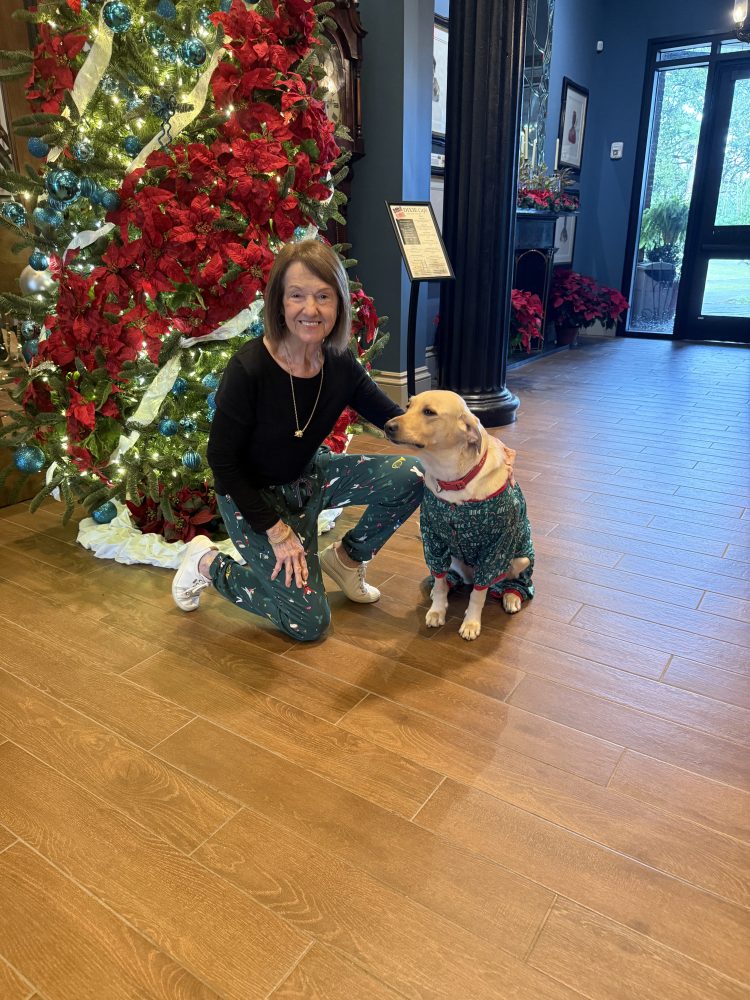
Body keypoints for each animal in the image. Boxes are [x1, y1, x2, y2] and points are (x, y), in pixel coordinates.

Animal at [388, 390, 536, 640]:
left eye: (429, 412)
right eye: (408, 406)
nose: (388, 426)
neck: (452, 479)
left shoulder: (496, 547)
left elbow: (478, 594)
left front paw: (471, 623)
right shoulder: (433, 538)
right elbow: (439, 582)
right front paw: (437, 610)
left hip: (521, 558)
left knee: (510, 582)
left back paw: (511, 596)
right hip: (454, 559)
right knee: (451, 578)